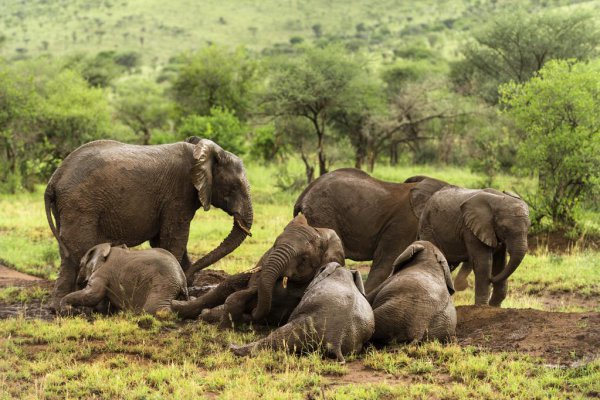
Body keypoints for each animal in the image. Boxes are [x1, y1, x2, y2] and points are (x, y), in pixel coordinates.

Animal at [59, 244, 188, 316]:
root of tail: (182, 279)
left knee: (154, 309)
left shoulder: (102, 273)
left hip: (163, 284)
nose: (75, 311)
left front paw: (67, 309)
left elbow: (93, 295)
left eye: (81, 264)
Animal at [171, 214, 344, 326]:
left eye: (304, 259)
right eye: (274, 246)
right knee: (225, 287)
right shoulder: (265, 259)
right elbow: (248, 288)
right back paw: (180, 308)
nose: (252, 311)